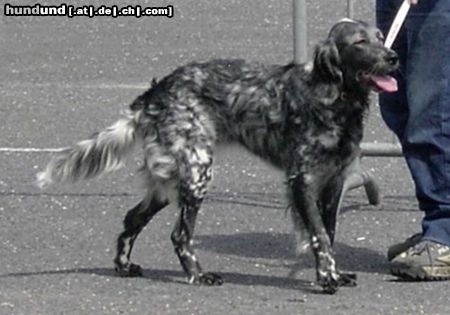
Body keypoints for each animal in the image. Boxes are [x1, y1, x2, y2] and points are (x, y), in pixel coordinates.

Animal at [37, 19, 400, 296]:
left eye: (380, 36)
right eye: (360, 42)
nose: (394, 56)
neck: (333, 99)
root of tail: (156, 92)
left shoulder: (334, 183)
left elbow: (330, 233)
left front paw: (334, 274)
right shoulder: (302, 181)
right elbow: (320, 236)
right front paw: (326, 279)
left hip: (169, 182)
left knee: (131, 219)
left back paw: (124, 266)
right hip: (197, 172)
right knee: (179, 234)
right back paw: (198, 275)